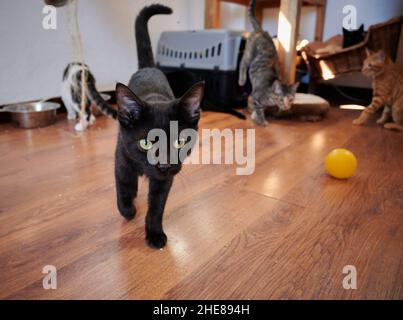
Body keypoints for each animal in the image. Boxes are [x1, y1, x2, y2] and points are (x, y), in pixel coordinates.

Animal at [114, 5, 205, 249]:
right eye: (145, 143)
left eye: (180, 141)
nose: (164, 164)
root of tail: (148, 68)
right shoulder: (122, 159)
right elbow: (123, 187)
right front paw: (128, 210)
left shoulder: (165, 180)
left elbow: (157, 206)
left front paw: (154, 233)